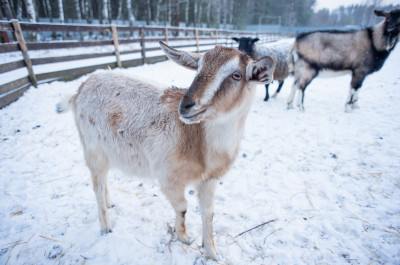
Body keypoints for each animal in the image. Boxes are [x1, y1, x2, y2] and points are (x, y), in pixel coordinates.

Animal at [57, 42, 276, 258]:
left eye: (237, 75)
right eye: (198, 68)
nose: (186, 106)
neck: (198, 142)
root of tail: (79, 89)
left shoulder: (210, 180)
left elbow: (208, 213)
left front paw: (213, 253)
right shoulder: (169, 177)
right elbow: (183, 207)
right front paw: (184, 237)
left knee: (103, 181)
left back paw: (110, 202)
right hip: (92, 150)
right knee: (97, 187)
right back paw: (105, 227)